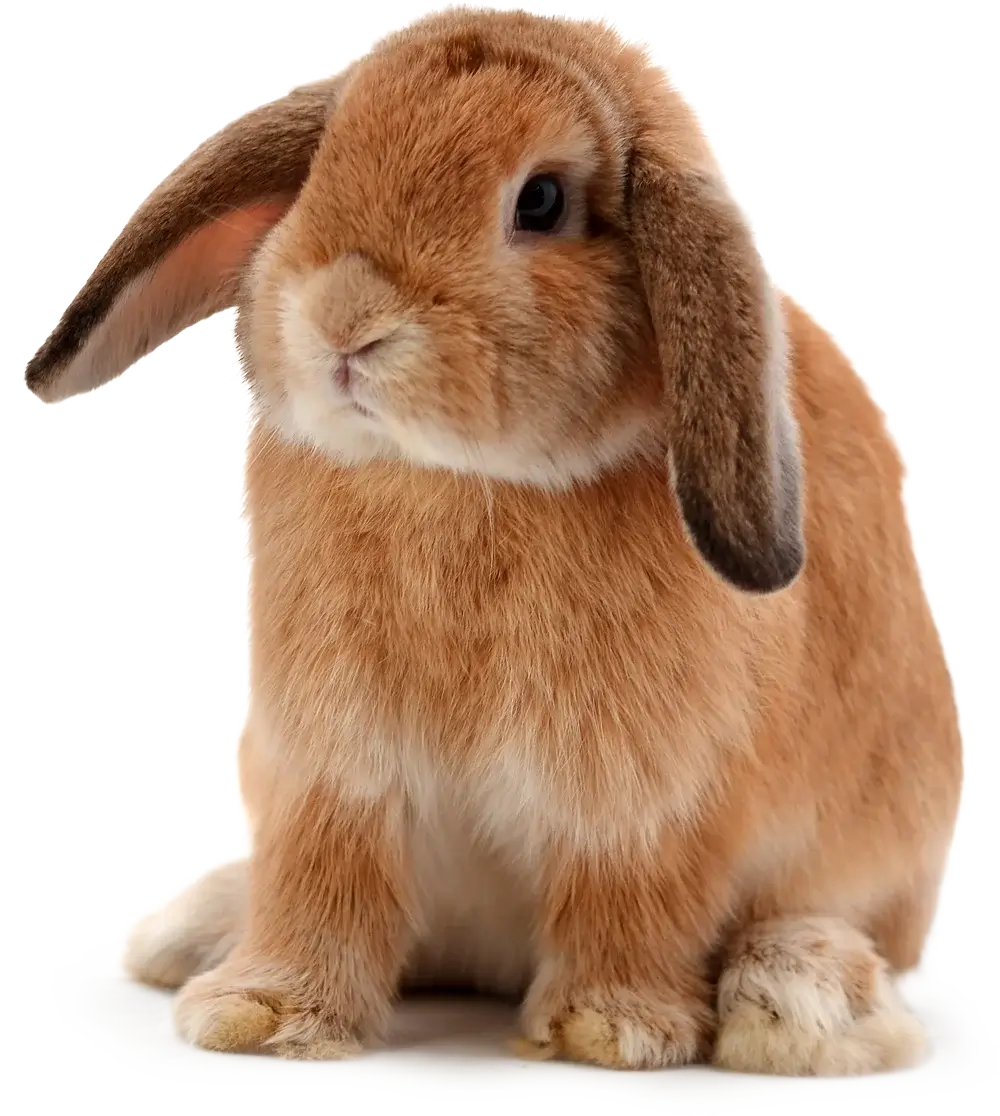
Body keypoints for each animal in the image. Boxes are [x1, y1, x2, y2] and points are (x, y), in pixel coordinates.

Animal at [24, 4, 964, 1077]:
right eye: (321, 168)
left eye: (542, 200)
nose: (345, 319)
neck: (458, 479)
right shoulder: (334, 770)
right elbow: (320, 882)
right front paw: (256, 1013)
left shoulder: (645, 796)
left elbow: (629, 896)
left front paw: (610, 1030)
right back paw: (190, 929)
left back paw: (798, 1001)